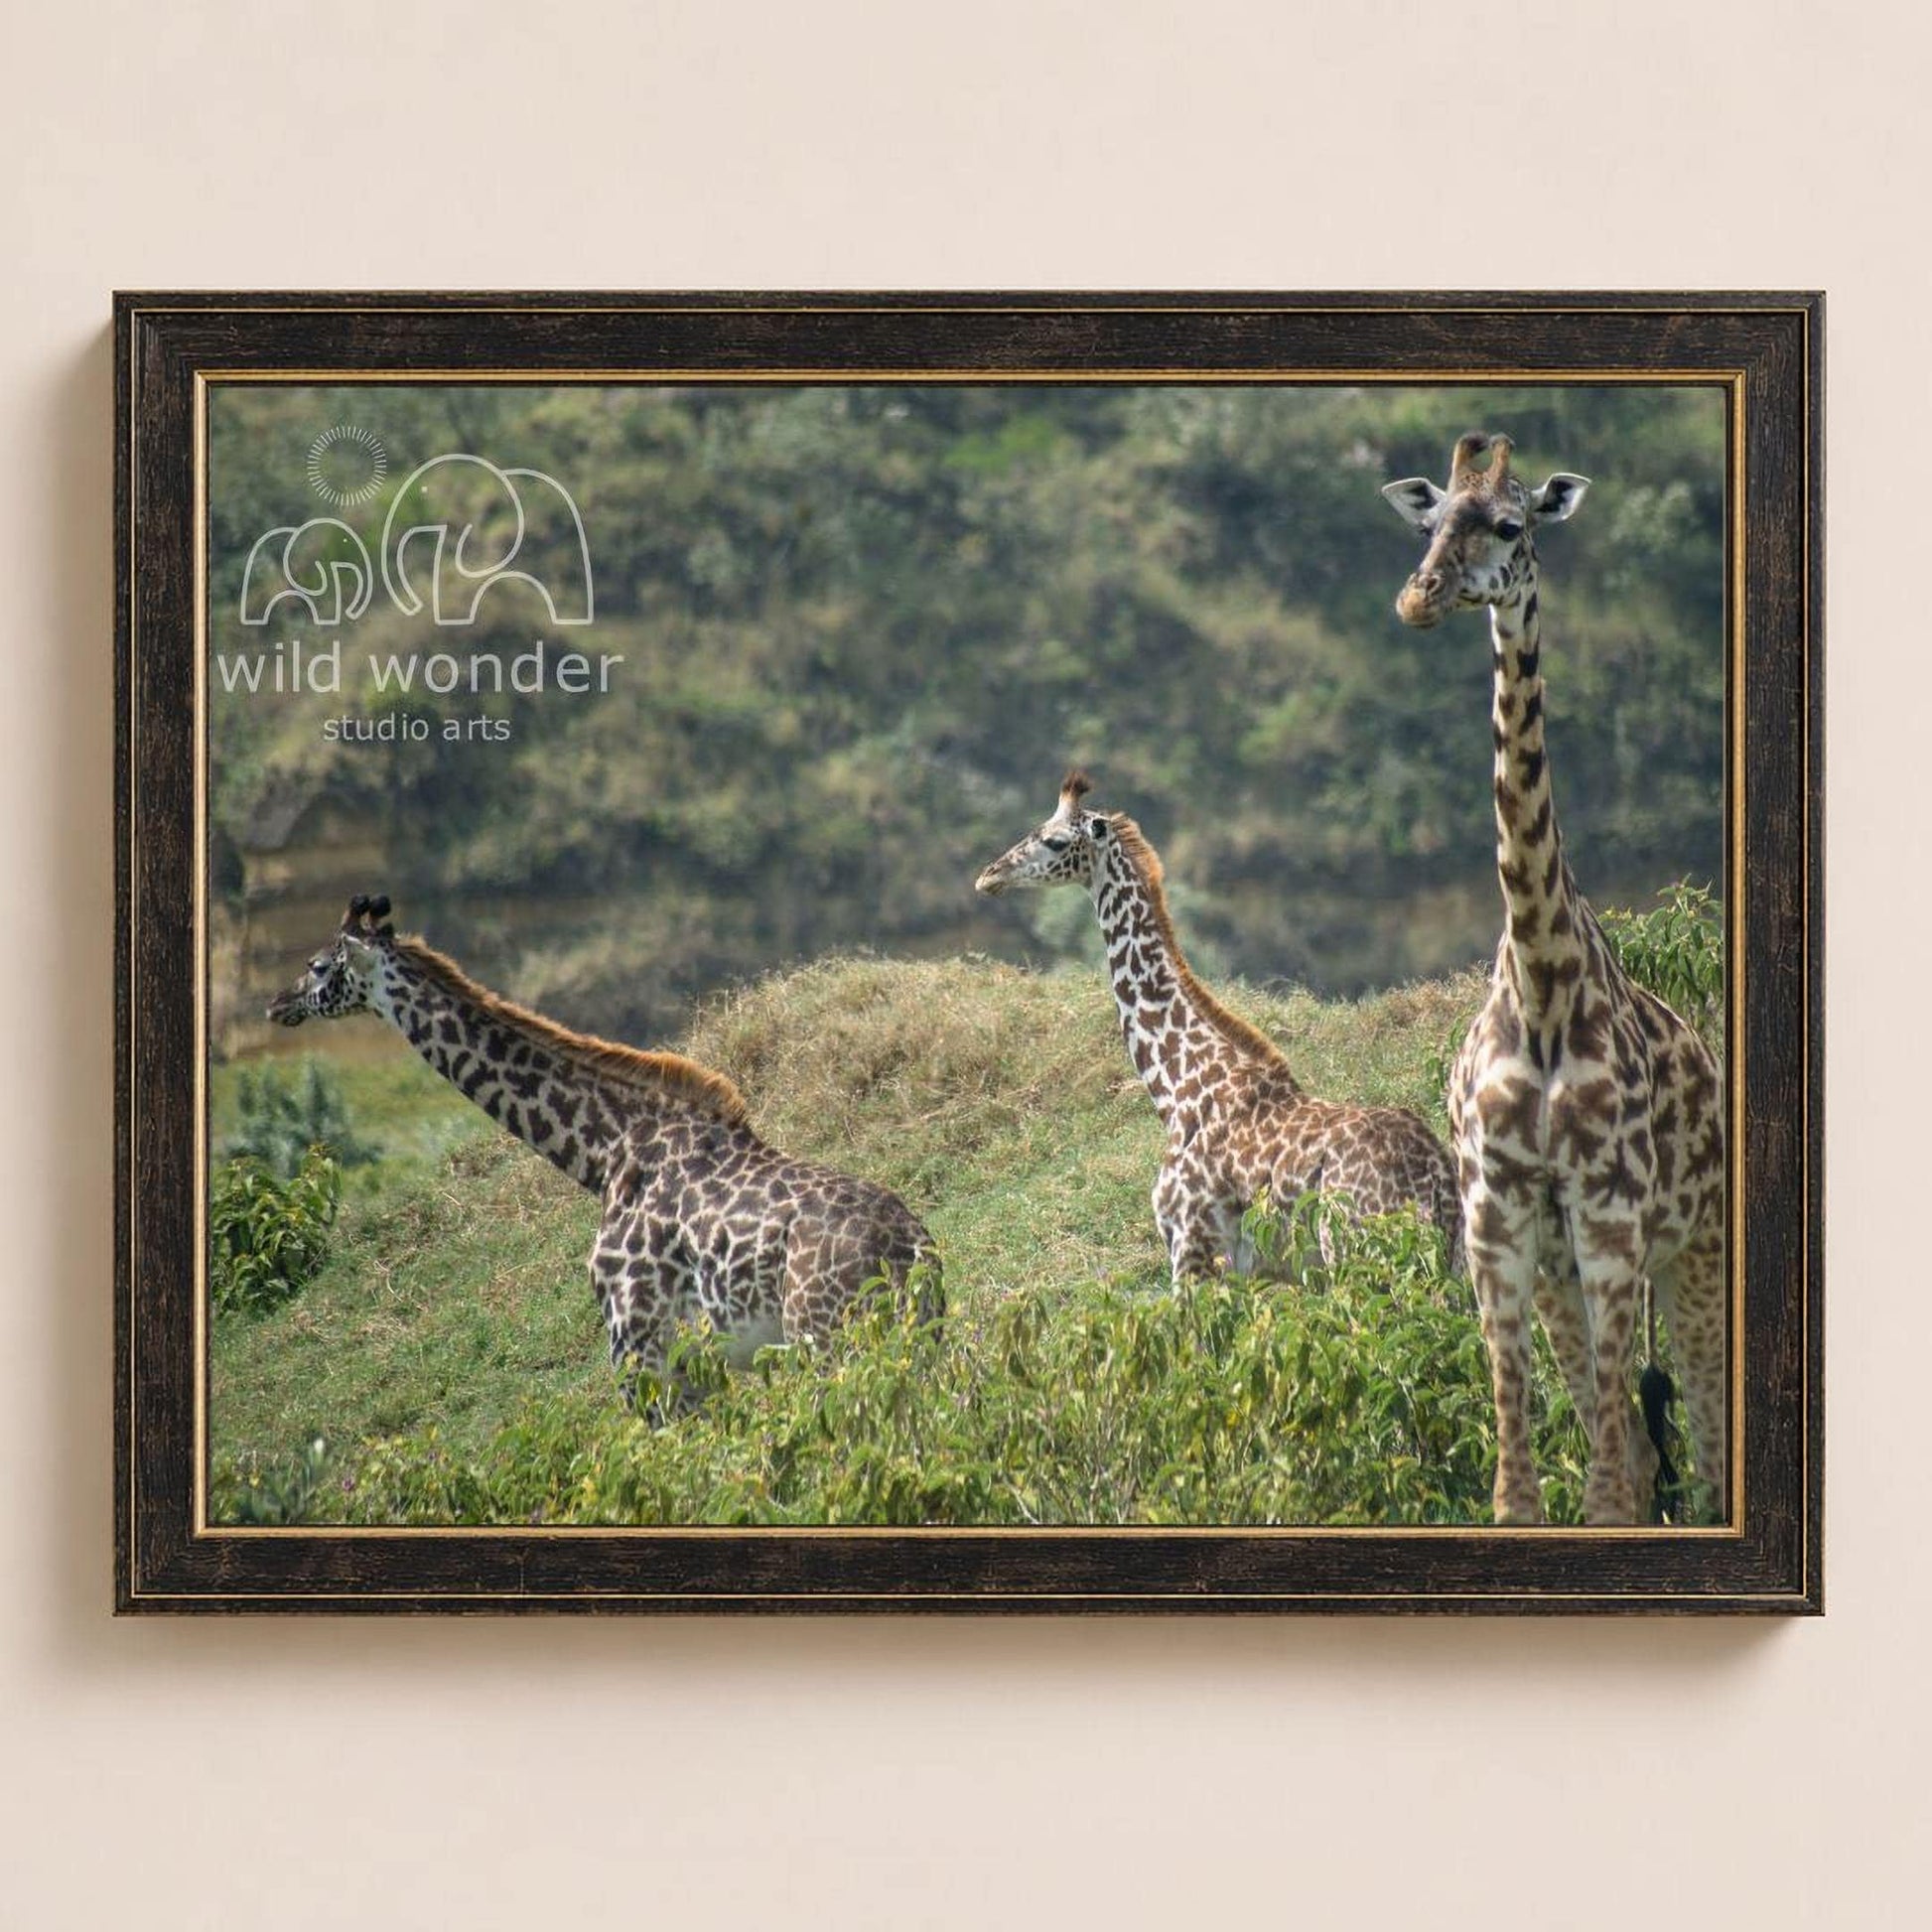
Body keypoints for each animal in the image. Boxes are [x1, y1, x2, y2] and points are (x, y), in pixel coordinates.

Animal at [265, 895, 939, 1407]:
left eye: (318, 966)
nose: (276, 1003)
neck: (606, 1151)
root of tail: (910, 1251)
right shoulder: (694, 1362)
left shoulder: (638, 1348)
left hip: (825, 1340)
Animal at [974, 774, 1463, 1285]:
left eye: (1054, 840)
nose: (989, 876)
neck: (1179, 1087)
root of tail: (1437, 1181)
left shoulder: (1192, 1247)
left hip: (1357, 1253)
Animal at [1382, 431, 1726, 1525]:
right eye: (1428, 518)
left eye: (1507, 524)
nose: (1417, 597)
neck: (1538, 984)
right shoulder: (1497, 1212)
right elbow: (1521, 1481)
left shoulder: (1612, 1216)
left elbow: (1612, 1484)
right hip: (1567, 1262)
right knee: (1637, 1435)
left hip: (1691, 1248)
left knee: (1699, 1441)